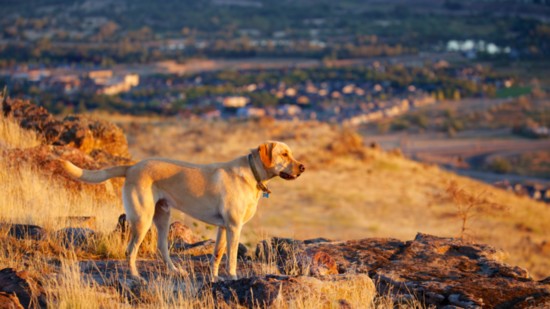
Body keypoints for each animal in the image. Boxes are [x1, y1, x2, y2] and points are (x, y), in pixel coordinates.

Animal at [60, 141, 306, 280]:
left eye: (291, 154)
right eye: (284, 154)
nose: (303, 167)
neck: (253, 173)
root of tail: (131, 167)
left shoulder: (223, 228)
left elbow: (217, 255)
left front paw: (215, 278)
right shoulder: (234, 227)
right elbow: (232, 258)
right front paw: (233, 276)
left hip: (162, 217)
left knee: (161, 248)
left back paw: (175, 271)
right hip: (142, 219)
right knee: (130, 250)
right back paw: (136, 276)